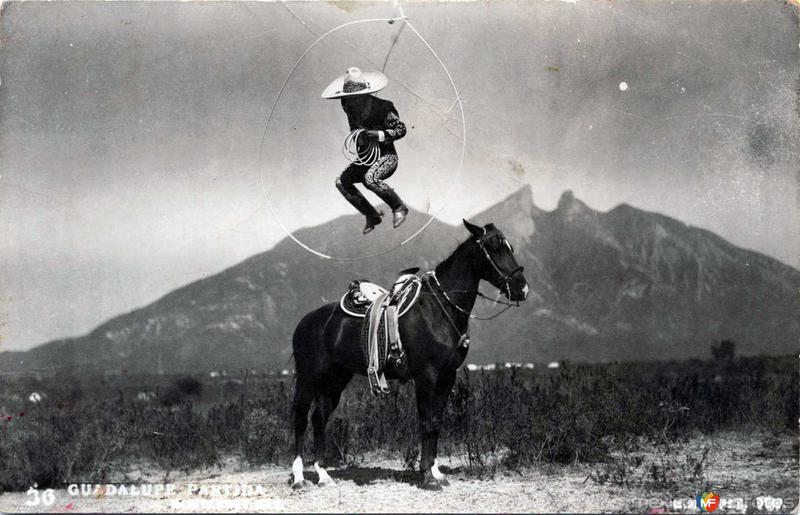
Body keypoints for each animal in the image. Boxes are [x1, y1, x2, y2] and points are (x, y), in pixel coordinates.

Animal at [290, 220, 528, 490]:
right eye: (494, 247)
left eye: (509, 247)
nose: (522, 288)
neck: (438, 309)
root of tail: (307, 321)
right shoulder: (426, 375)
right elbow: (425, 421)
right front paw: (427, 476)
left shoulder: (447, 377)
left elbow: (435, 422)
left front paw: (437, 473)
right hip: (308, 378)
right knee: (300, 420)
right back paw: (299, 478)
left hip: (335, 380)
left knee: (319, 419)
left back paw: (323, 476)